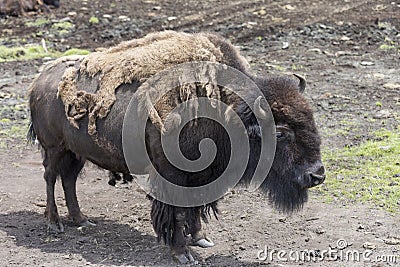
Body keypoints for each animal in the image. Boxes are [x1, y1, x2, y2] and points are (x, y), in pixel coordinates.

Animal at [29, 30, 326, 264]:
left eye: (312, 119)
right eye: (281, 132)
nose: (317, 175)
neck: (226, 110)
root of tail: (39, 80)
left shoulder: (200, 177)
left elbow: (195, 208)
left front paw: (201, 238)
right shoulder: (171, 176)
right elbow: (176, 213)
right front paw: (183, 253)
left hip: (75, 152)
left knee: (68, 180)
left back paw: (81, 220)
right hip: (54, 148)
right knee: (50, 178)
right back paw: (55, 225)